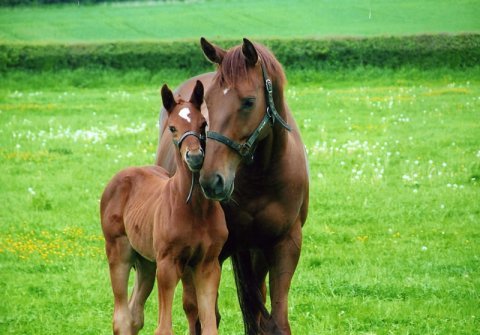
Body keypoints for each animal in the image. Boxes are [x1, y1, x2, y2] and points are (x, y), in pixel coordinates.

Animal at [100, 81, 227, 335]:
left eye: (203, 124)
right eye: (172, 128)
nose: (195, 157)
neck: (194, 208)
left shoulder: (208, 264)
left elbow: (209, 326)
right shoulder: (167, 265)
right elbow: (164, 328)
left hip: (146, 262)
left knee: (134, 315)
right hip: (119, 252)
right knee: (121, 318)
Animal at [156, 38, 310, 334]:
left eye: (249, 102)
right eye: (209, 104)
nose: (211, 179)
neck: (262, 177)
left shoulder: (285, 244)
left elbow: (274, 319)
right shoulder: (215, 253)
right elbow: (209, 315)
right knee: (194, 309)